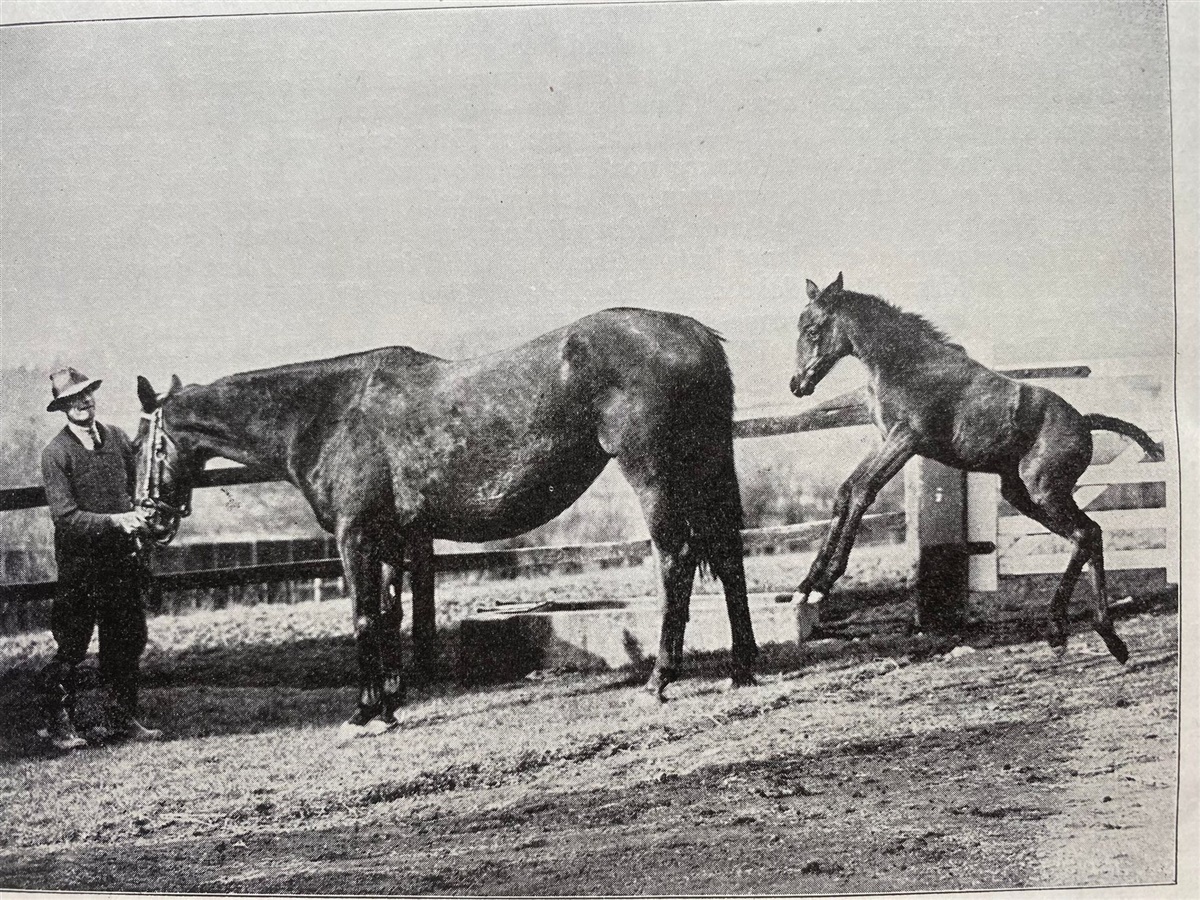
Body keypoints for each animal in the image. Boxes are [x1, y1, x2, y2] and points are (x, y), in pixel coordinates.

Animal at [134, 308, 758, 738]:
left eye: (141, 444)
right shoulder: (389, 537)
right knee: (729, 556)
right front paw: (388, 706)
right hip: (707, 470)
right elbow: (390, 615)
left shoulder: (356, 535)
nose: (149, 521)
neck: (327, 412)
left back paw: (659, 681)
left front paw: (362, 713)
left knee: (675, 561)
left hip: (656, 474)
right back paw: (742, 670)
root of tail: (695, 335)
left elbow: (363, 617)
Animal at [789, 273, 1164, 663]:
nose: (797, 385)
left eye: (813, 331)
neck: (907, 365)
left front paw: (825, 583)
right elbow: (844, 492)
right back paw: (1096, 636)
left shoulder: (905, 440)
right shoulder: (883, 440)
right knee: (1087, 536)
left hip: (1045, 492)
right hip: (1021, 495)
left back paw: (1071, 631)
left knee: (1087, 534)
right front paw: (805, 586)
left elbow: (863, 491)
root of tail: (1085, 422)